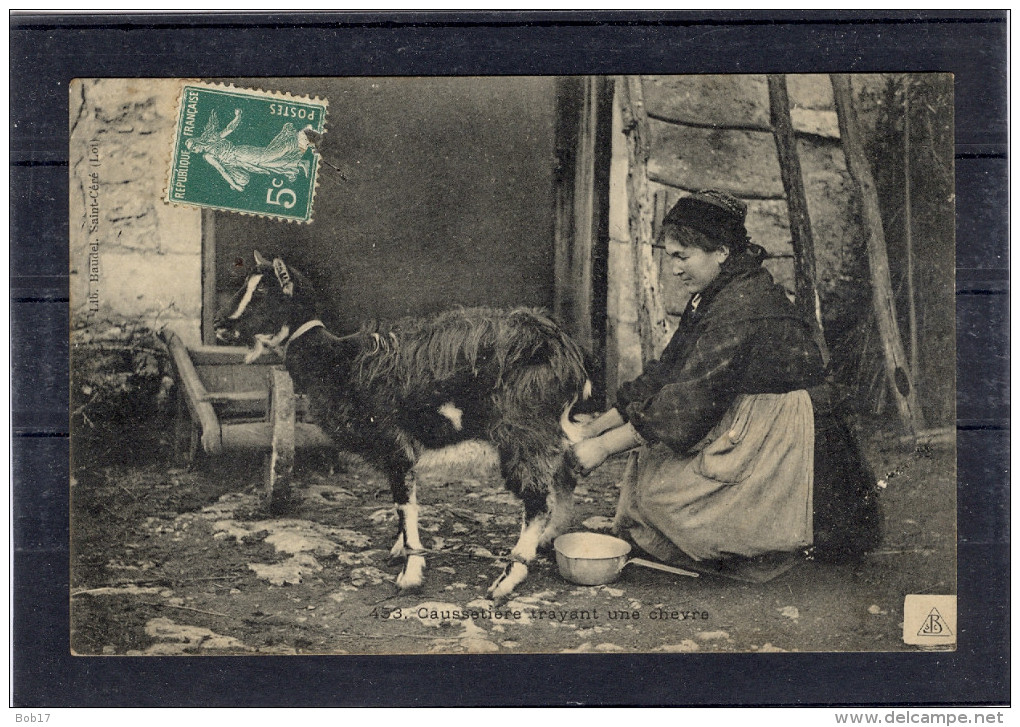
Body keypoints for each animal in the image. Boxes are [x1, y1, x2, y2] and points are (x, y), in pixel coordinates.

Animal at [215, 250, 591, 599]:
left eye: (263, 293)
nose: (221, 324)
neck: (340, 362)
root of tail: (565, 352)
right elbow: (400, 505)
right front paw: (400, 551)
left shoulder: (395, 444)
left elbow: (404, 504)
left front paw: (411, 572)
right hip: (550, 432)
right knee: (566, 475)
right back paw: (548, 540)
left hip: (523, 432)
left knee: (537, 501)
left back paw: (507, 578)